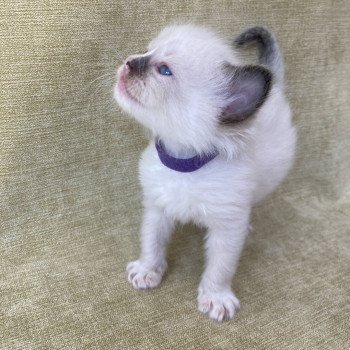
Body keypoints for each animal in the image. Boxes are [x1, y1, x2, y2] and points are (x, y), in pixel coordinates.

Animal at [114, 25, 296, 322]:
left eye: (164, 70)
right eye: (146, 51)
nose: (129, 61)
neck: (184, 165)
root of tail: (276, 87)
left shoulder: (226, 228)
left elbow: (220, 268)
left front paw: (215, 298)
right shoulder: (157, 209)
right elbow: (152, 243)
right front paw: (148, 271)